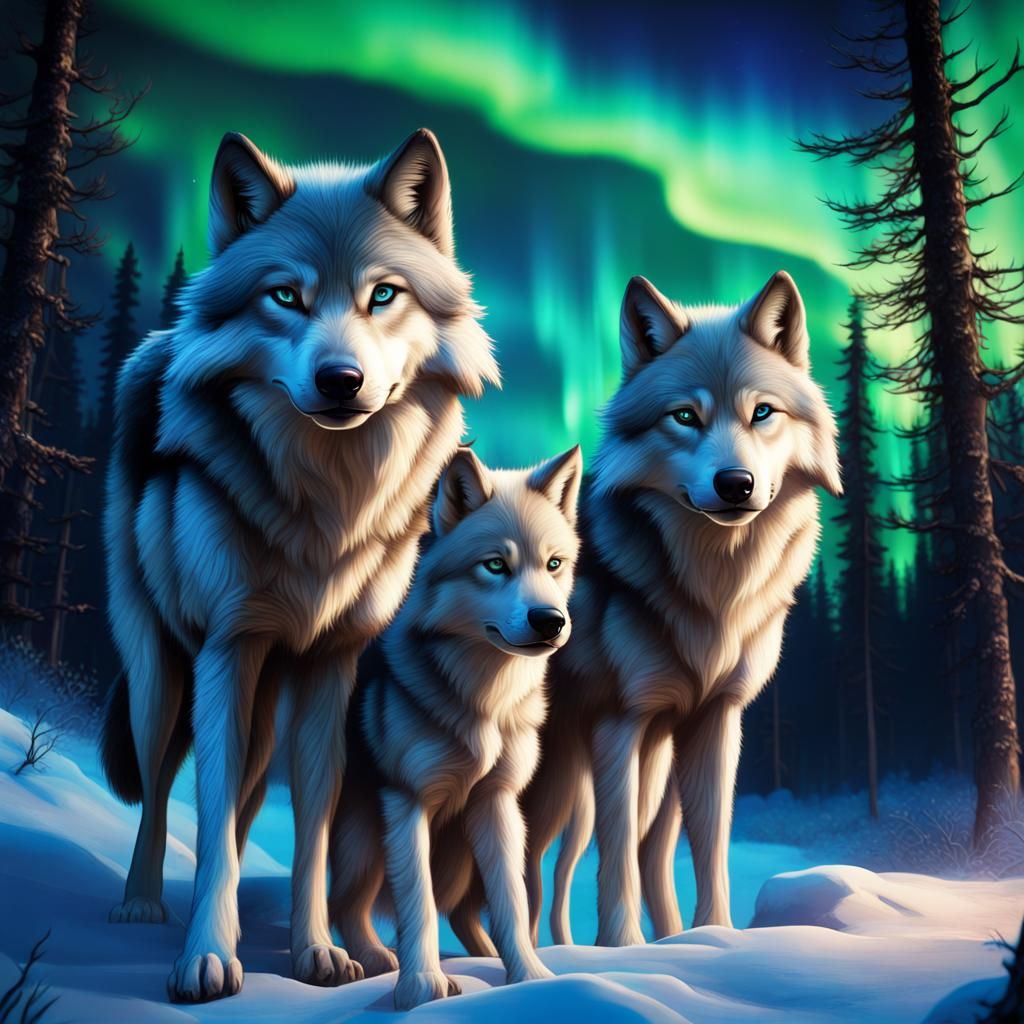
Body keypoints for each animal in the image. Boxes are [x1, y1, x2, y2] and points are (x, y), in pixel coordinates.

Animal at [99, 128, 498, 1003]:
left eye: (383, 296)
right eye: (286, 296)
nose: (340, 380)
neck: (326, 508)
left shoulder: (330, 666)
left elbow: (312, 824)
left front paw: (316, 952)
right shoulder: (226, 650)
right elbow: (205, 812)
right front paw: (206, 958)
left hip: (267, 698)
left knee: (248, 798)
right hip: (161, 675)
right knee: (160, 786)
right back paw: (142, 906)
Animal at [327, 445, 581, 1010]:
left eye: (554, 564)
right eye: (496, 565)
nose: (550, 620)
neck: (484, 701)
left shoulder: (498, 803)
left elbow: (512, 900)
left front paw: (530, 977)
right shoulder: (406, 801)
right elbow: (417, 902)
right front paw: (422, 987)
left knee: (466, 913)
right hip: (363, 841)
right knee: (343, 903)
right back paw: (375, 958)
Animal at [455, 271, 841, 949]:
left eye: (762, 412)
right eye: (685, 416)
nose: (735, 483)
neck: (714, 589)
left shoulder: (716, 720)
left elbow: (707, 846)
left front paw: (714, 938)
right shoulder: (621, 725)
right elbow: (616, 860)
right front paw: (623, 947)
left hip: (632, 775)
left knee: (628, 858)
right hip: (553, 783)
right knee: (516, 876)